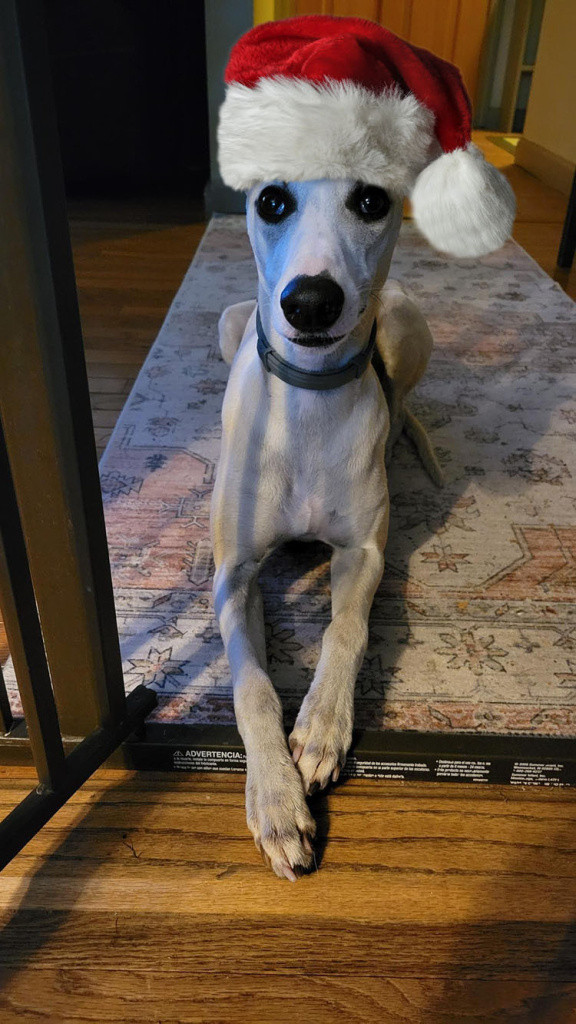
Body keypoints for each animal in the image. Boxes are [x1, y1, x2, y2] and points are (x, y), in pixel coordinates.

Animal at [211, 178, 438, 880]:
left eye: (370, 201)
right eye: (271, 200)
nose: (310, 301)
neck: (309, 399)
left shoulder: (362, 553)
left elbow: (346, 629)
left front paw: (320, 728)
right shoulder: (233, 576)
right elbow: (252, 685)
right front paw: (277, 804)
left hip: (407, 325)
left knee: (405, 399)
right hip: (228, 321)